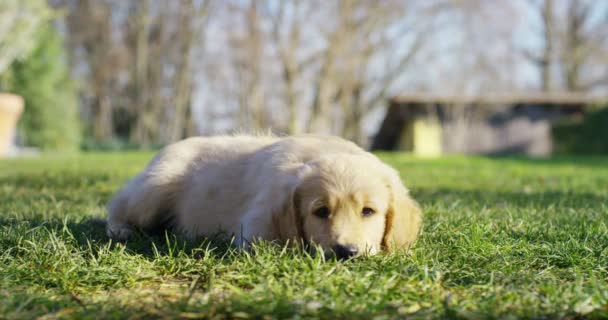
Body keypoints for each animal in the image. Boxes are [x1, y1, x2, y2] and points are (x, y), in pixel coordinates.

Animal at [105, 134, 422, 258]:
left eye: (368, 211)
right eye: (320, 211)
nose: (347, 252)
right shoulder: (257, 230)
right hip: (152, 191)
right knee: (117, 205)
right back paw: (120, 229)